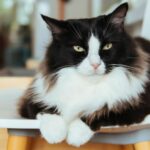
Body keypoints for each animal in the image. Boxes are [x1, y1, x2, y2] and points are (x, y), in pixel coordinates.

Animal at [18, 2, 150, 147]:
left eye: (107, 46)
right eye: (78, 48)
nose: (95, 64)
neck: (87, 86)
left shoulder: (135, 105)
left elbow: (98, 112)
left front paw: (75, 135)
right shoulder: (31, 99)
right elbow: (47, 110)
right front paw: (54, 134)